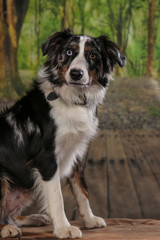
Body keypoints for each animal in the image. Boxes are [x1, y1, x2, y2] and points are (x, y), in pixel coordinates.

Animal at [0, 28, 125, 238]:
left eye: (93, 55)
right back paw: (8, 229)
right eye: (68, 52)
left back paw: (34, 218)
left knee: (9, 214)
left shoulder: (77, 153)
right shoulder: (47, 159)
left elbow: (82, 191)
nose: (76, 73)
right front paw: (63, 228)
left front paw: (89, 220)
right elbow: (56, 197)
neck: (73, 99)